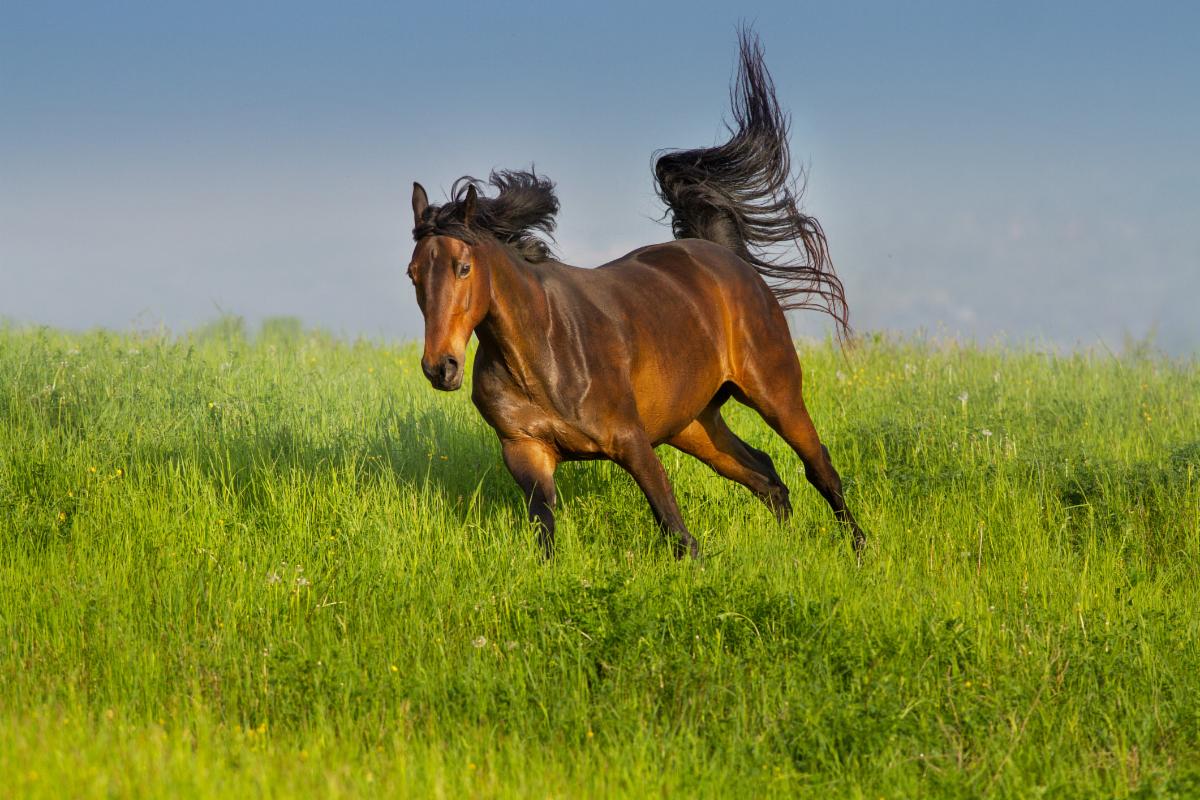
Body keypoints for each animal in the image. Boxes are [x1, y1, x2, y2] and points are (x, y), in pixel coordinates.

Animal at [405, 31, 865, 559]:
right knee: (766, 475)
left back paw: (859, 549)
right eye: (413, 274)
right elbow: (545, 537)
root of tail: (727, 260)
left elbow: (677, 531)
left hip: (775, 394)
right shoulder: (526, 454)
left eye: (463, 268)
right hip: (693, 424)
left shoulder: (631, 440)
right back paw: (787, 549)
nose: (441, 368)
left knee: (818, 467)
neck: (539, 353)